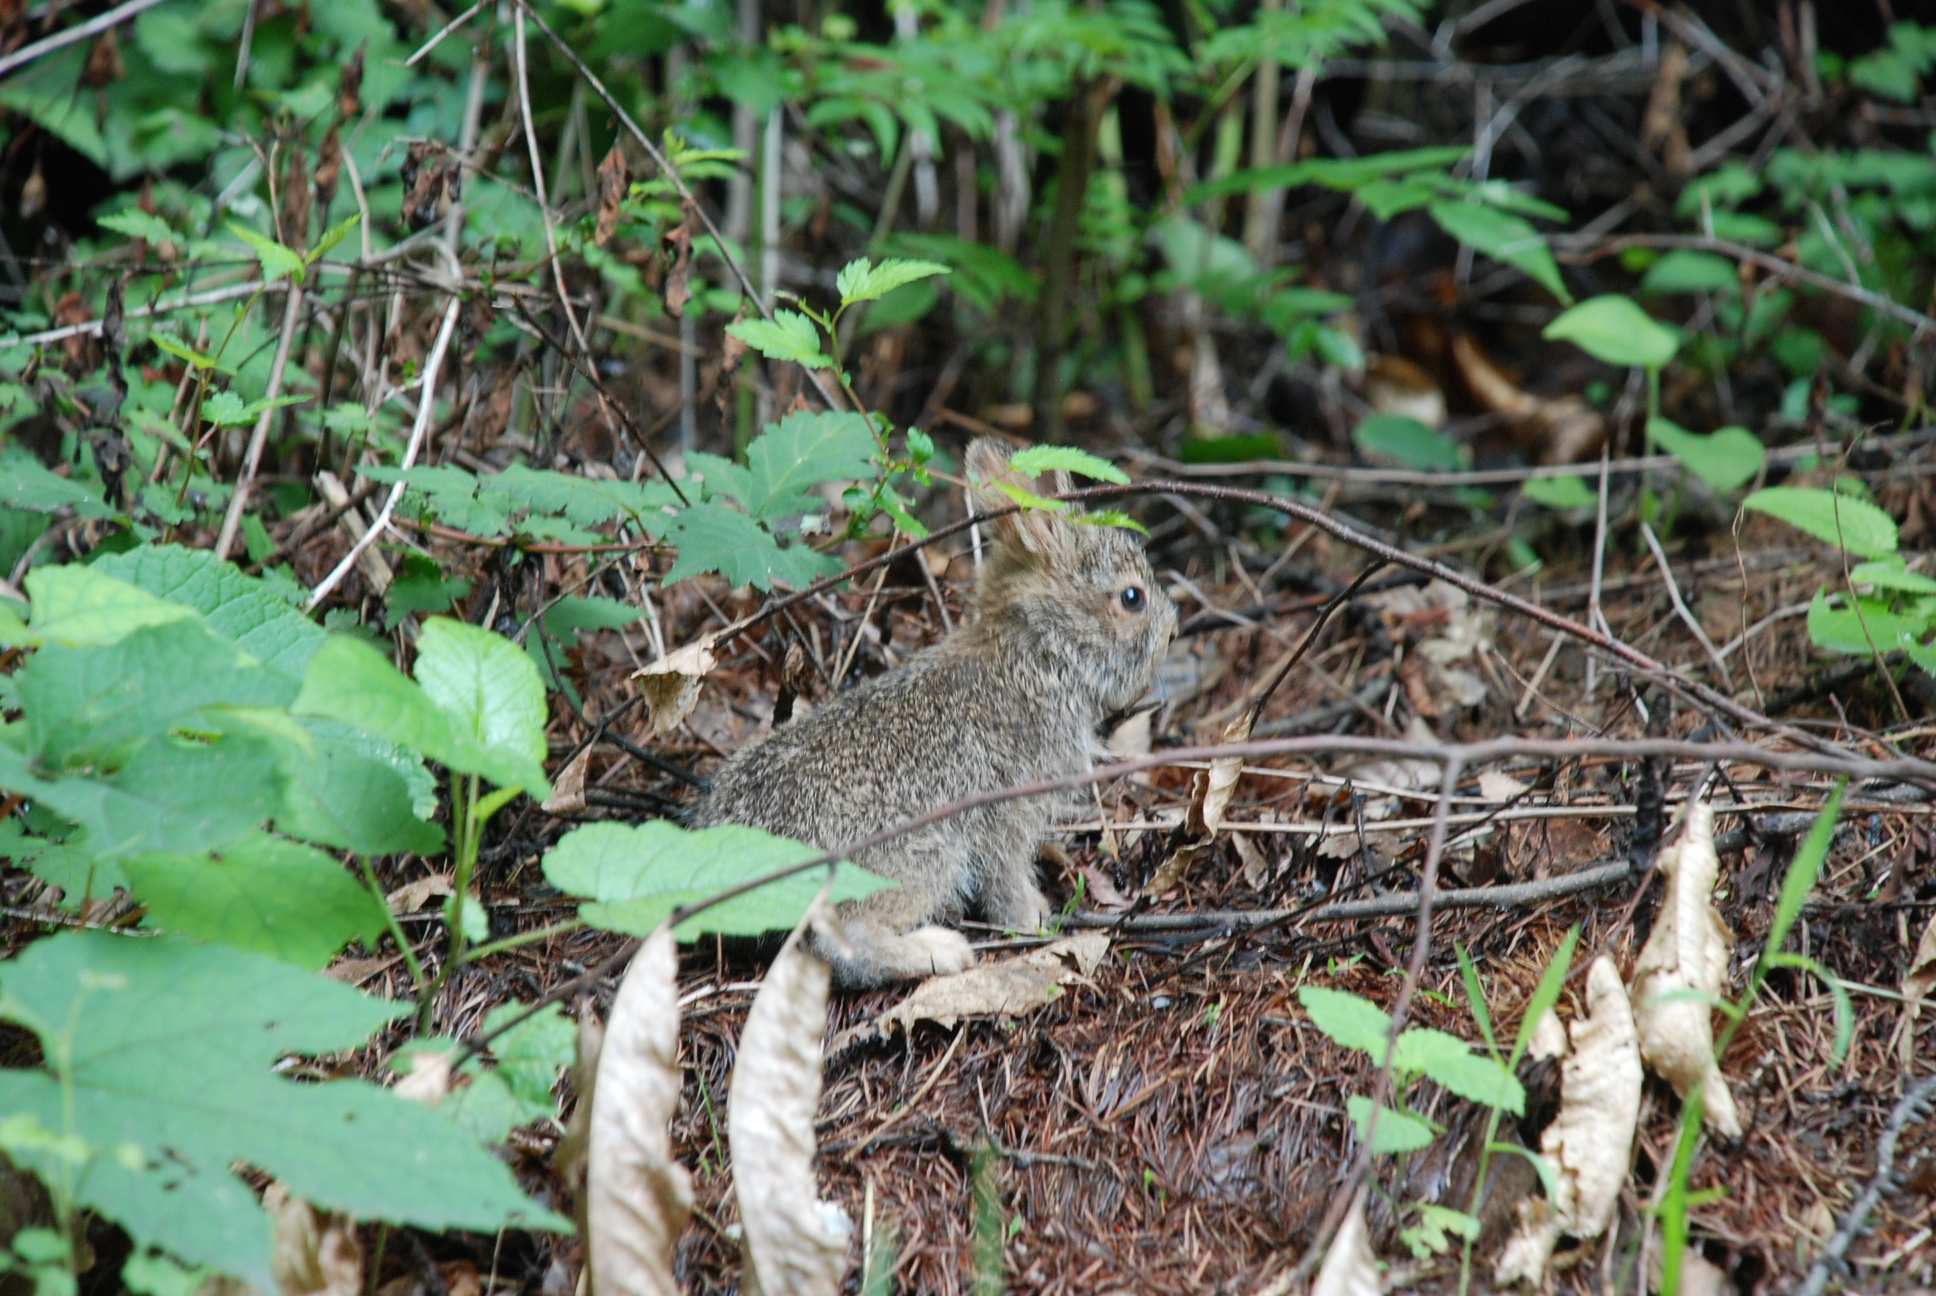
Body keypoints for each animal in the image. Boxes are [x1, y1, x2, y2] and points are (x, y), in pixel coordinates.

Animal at [696, 439, 1177, 984]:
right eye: (1132, 598)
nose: (1173, 630)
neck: (1041, 650)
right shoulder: (1007, 809)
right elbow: (1005, 873)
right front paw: (1033, 918)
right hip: (922, 857)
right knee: (842, 943)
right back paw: (942, 951)